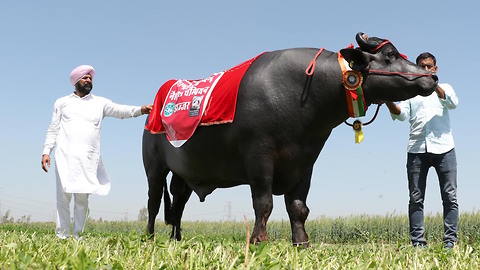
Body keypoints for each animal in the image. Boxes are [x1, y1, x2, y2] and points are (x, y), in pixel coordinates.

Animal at [141, 32, 436, 246]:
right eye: (390, 55)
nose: (431, 77)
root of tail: (153, 110)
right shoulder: (259, 157)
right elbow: (264, 203)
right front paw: (259, 240)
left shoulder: (305, 161)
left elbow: (298, 207)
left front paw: (301, 242)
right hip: (154, 168)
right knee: (153, 203)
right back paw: (150, 237)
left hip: (184, 174)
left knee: (178, 206)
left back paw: (176, 239)